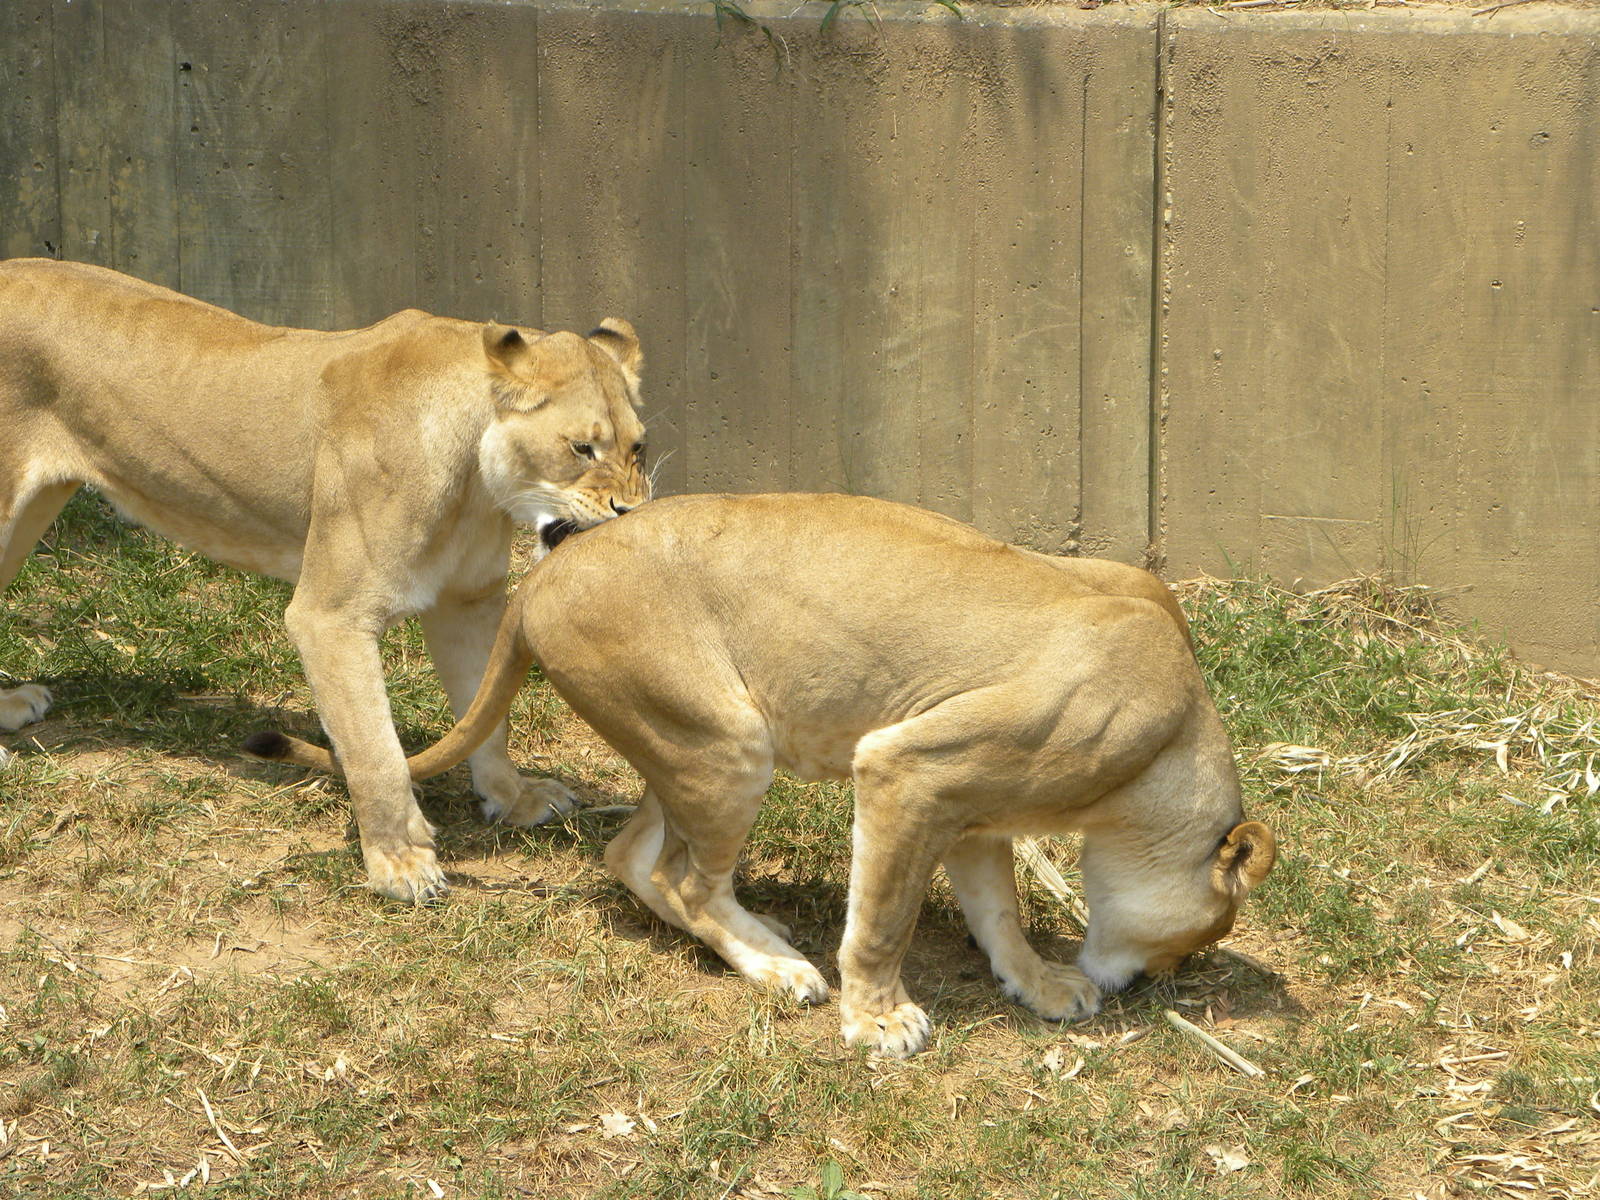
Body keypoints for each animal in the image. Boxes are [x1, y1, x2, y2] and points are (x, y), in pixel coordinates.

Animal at [0, 258, 649, 902]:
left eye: (639, 447)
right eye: (581, 448)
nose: (631, 512)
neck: (478, 488)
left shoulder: (466, 602)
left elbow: (485, 715)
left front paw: (512, 799)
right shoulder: (330, 617)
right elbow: (373, 748)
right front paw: (398, 862)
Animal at [248, 493, 1277, 1056]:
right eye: (1187, 946)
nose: (1139, 988)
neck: (1171, 739)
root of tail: (542, 573)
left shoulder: (970, 804)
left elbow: (999, 912)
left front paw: (1040, 983)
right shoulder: (907, 768)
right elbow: (884, 919)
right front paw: (879, 1023)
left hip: (685, 740)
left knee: (633, 858)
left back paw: (761, 940)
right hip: (729, 741)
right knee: (682, 879)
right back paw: (783, 970)